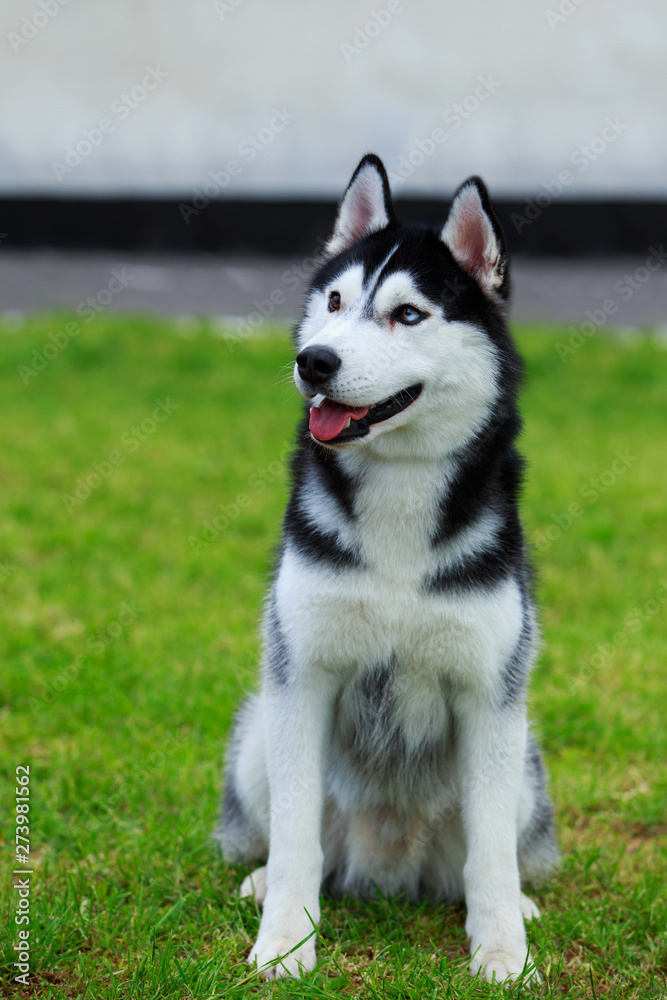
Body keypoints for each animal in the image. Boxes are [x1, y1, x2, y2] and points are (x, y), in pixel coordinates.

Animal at [219, 154, 560, 984]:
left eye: (407, 315)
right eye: (335, 301)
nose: (314, 361)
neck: (399, 491)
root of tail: (388, 870)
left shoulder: (489, 694)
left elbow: (491, 858)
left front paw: (503, 952)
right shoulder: (302, 677)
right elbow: (296, 839)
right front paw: (286, 942)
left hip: (525, 763)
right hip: (257, 732)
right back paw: (261, 879)